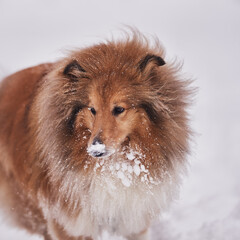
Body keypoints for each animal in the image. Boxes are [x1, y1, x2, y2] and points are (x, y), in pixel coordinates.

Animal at [0, 31, 192, 240]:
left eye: (119, 109)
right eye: (92, 109)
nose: (95, 149)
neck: (115, 165)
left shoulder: (133, 220)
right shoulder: (71, 223)